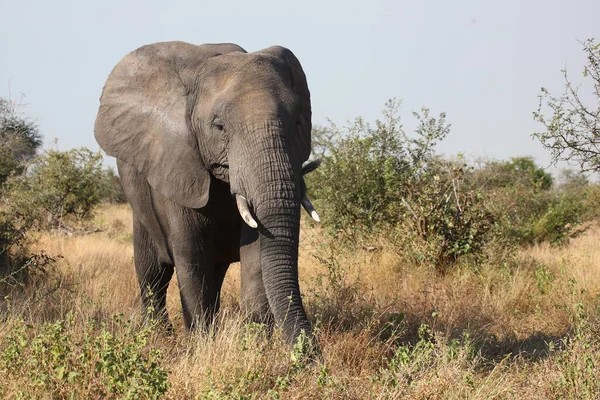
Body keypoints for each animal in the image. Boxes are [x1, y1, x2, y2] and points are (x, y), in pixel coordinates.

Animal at [94, 41, 322, 346]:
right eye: (219, 126)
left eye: (298, 122)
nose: (313, 353)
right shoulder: (175, 163)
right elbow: (191, 254)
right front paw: (200, 345)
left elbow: (256, 252)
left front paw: (254, 346)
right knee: (152, 271)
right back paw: (158, 335)